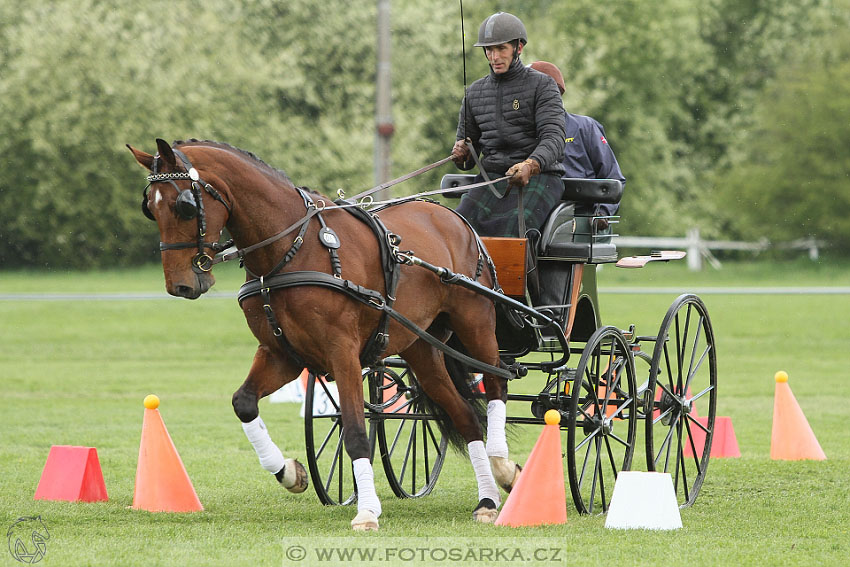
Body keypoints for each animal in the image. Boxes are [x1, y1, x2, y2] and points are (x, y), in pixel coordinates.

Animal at [128, 140, 520, 532]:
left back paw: (503, 468)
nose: (180, 285)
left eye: (184, 206)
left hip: (475, 323)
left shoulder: (342, 351)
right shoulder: (281, 353)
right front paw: (290, 472)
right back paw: (487, 500)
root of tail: (453, 218)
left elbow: (355, 431)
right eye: (150, 208)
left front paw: (367, 511)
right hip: (421, 347)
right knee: (465, 416)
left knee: (497, 384)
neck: (291, 250)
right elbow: (244, 402)